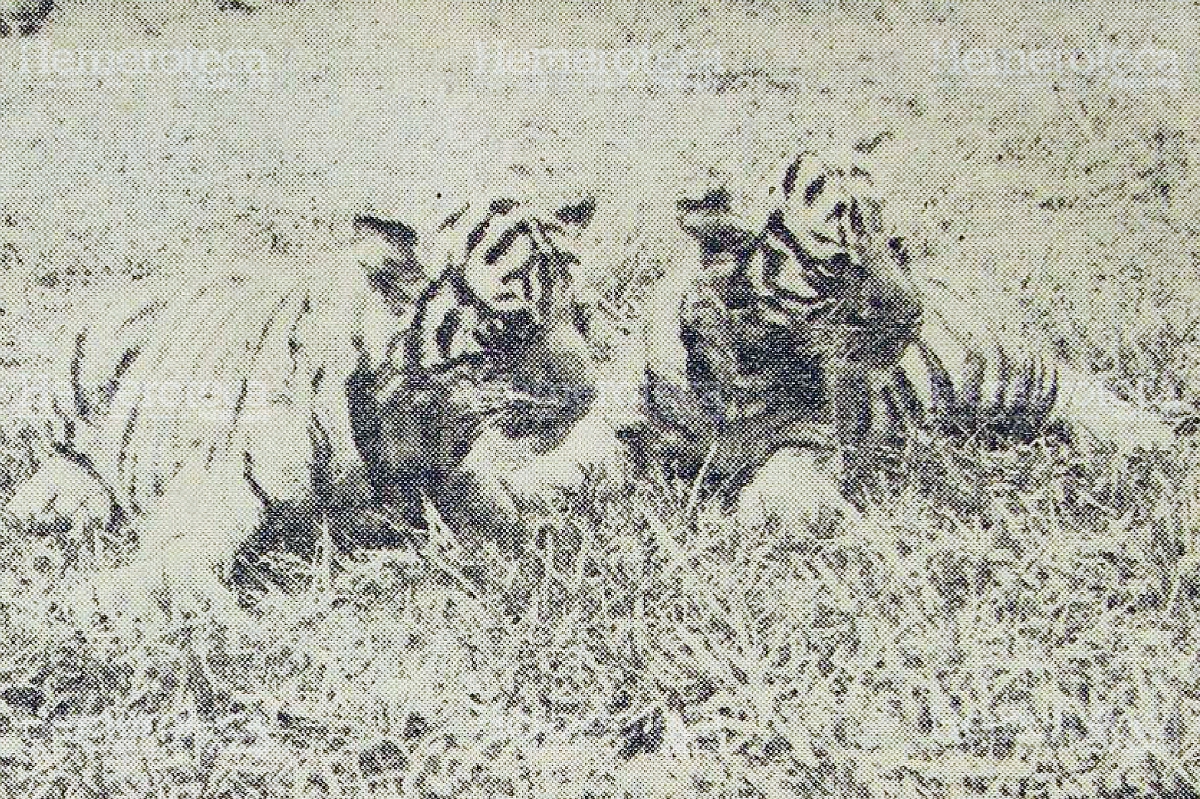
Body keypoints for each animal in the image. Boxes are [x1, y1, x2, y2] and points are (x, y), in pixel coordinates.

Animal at [3, 195, 620, 621]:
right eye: (509, 329)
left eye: (581, 317)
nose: (588, 396)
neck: (413, 424)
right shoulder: (221, 478)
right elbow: (182, 545)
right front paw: (163, 598)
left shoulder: (450, 481)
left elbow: (506, 514)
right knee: (60, 453)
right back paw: (57, 500)